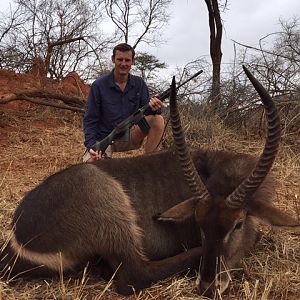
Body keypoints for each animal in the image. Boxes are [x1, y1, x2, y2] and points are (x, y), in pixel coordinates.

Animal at [0, 65, 298, 298]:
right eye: (199, 224)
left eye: (237, 224)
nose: (208, 286)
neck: (215, 173)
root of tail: (13, 245)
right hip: (104, 197)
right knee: (134, 276)